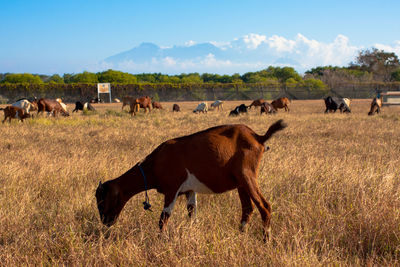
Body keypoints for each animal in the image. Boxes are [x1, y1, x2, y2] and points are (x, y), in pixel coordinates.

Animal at [95, 120, 286, 242]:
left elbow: (164, 217)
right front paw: (191, 234)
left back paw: (266, 240)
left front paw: (159, 240)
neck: (155, 163)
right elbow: (192, 214)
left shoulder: (172, 188)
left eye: (103, 200)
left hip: (247, 176)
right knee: (247, 208)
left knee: (264, 206)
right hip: (240, 182)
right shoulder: (189, 191)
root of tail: (257, 137)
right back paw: (241, 234)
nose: (105, 222)